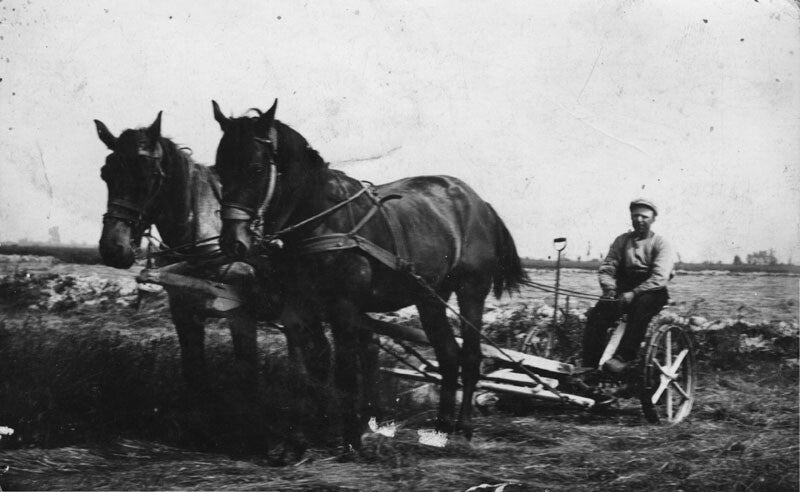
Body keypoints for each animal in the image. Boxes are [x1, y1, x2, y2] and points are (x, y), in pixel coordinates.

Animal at [94, 112, 332, 403]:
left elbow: (248, 378)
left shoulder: (240, 314)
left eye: (149, 174)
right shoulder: (183, 311)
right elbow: (194, 373)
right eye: (105, 174)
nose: (113, 248)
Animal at [211, 99, 529, 450]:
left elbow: (346, 371)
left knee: (470, 357)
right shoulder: (300, 306)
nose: (233, 242)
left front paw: (351, 438)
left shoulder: (344, 308)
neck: (321, 217)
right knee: (448, 356)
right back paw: (442, 429)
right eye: (219, 169)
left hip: (472, 290)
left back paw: (464, 428)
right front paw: (306, 435)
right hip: (430, 298)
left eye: (256, 169)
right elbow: (312, 369)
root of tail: (478, 202)